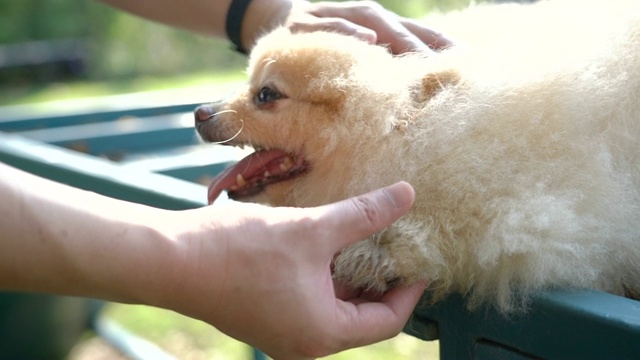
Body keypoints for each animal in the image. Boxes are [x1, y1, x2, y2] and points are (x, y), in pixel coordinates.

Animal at [195, 0, 640, 312]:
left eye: (266, 95)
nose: (201, 113)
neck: (402, 134)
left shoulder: (557, 208)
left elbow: (480, 229)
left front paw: (381, 249)